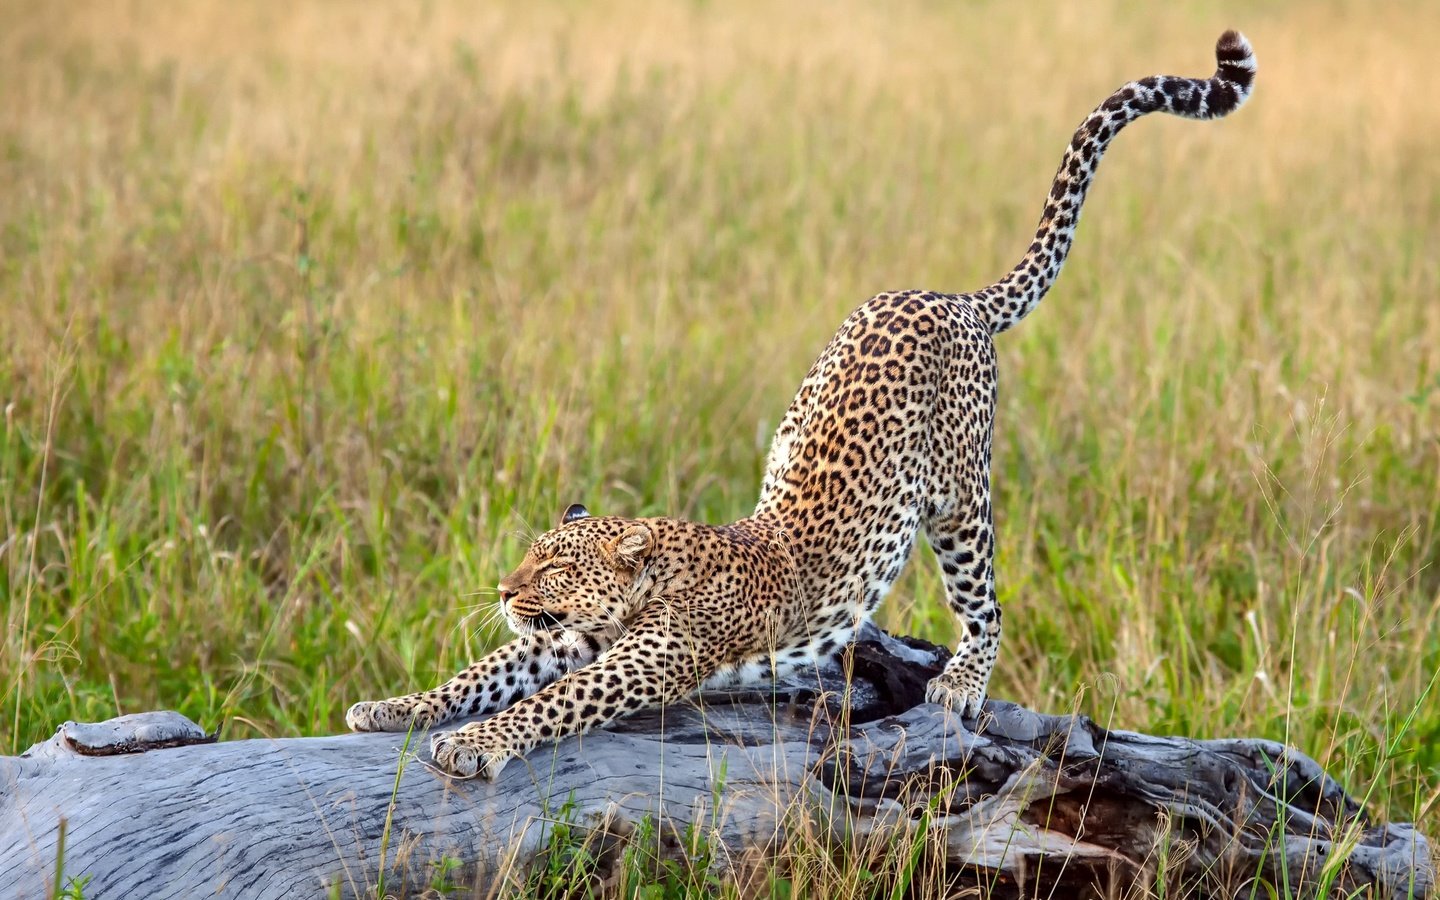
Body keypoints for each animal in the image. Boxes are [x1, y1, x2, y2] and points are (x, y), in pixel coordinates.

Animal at [342, 29, 1255, 777]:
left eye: (554, 566)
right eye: (529, 559)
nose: (502, 591)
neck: (651, 581)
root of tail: (949, 295)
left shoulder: (642, 660)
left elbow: (549, 703)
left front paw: (476, 744)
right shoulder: (565, 641)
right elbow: (479, 672)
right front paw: (395, 706)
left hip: (960, 505)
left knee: (987, 604)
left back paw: (961, 683)